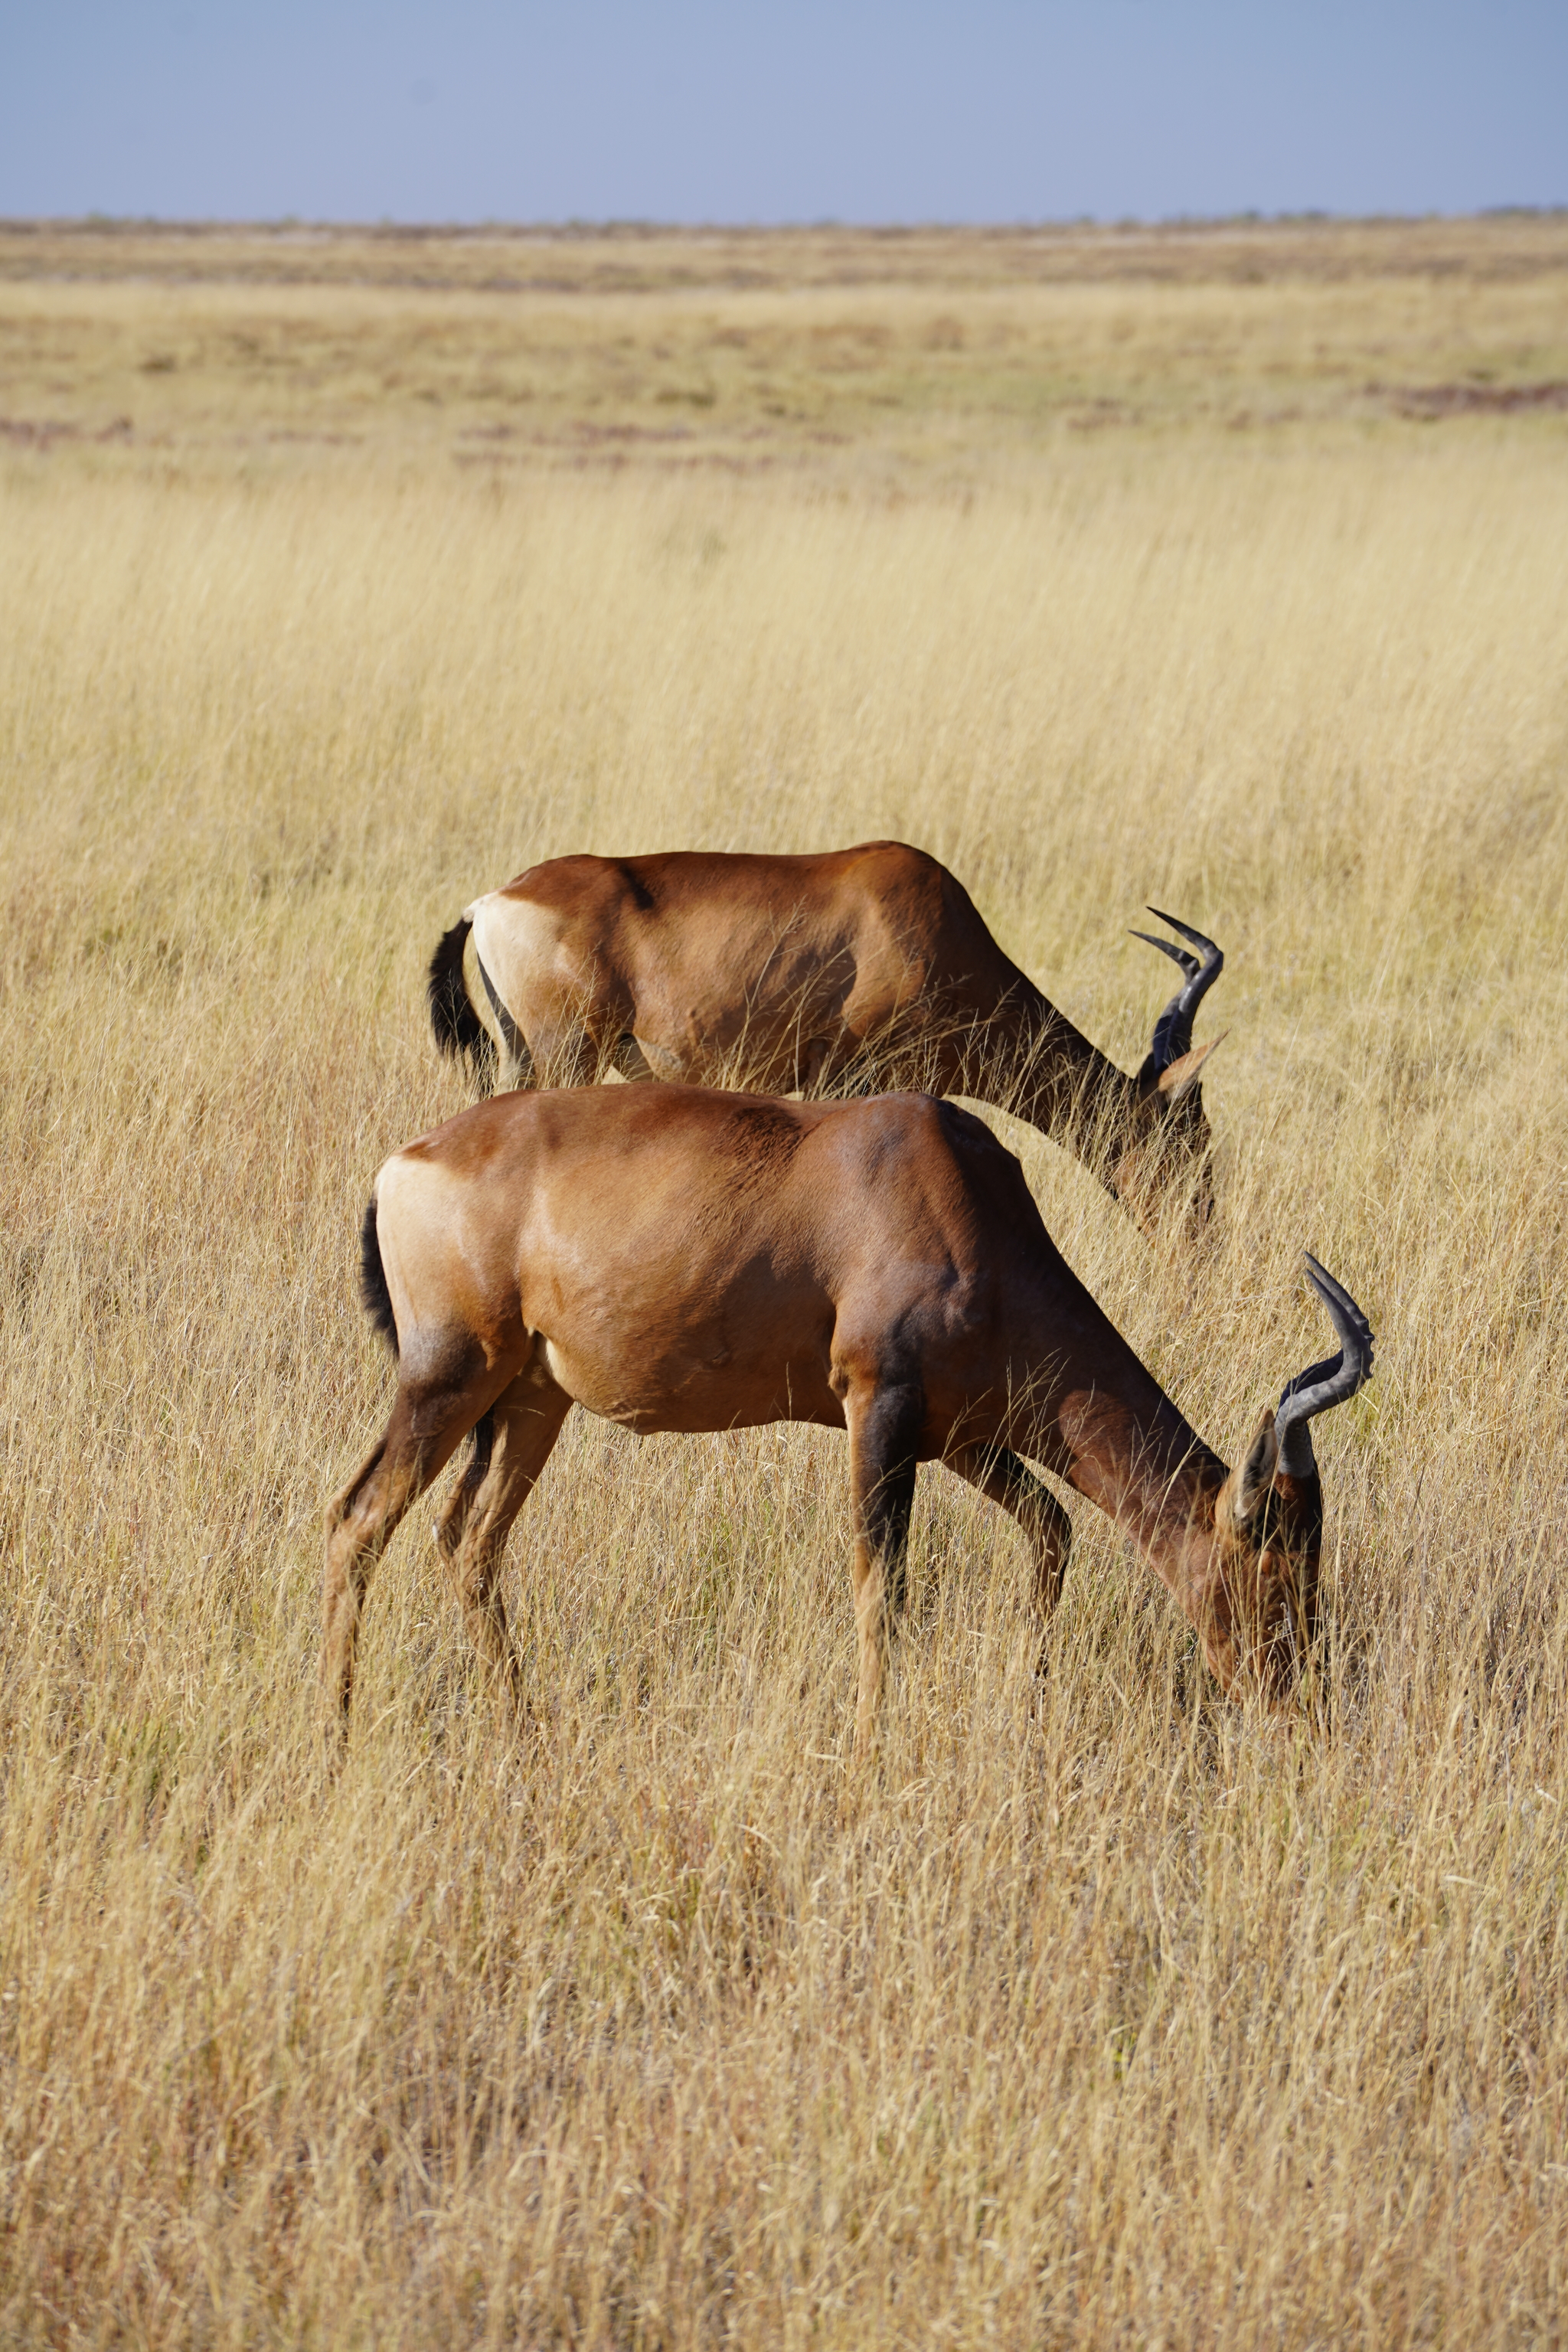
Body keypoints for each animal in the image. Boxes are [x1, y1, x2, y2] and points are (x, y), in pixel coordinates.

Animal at [322, 1076, 1373, 1749]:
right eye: (1271, 1567)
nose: (1301, 1717)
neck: (951, 1186)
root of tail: (401, 1163)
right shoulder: (878, 1410)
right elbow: (883, 1591)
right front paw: (868, 1762)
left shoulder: (961, 1436)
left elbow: (1051, 1531)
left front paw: (1024, 1706)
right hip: (445, 1377)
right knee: (356, 1519)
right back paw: (335, 1737)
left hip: (529, 1401)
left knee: (468, 1540)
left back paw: (520, 1729)